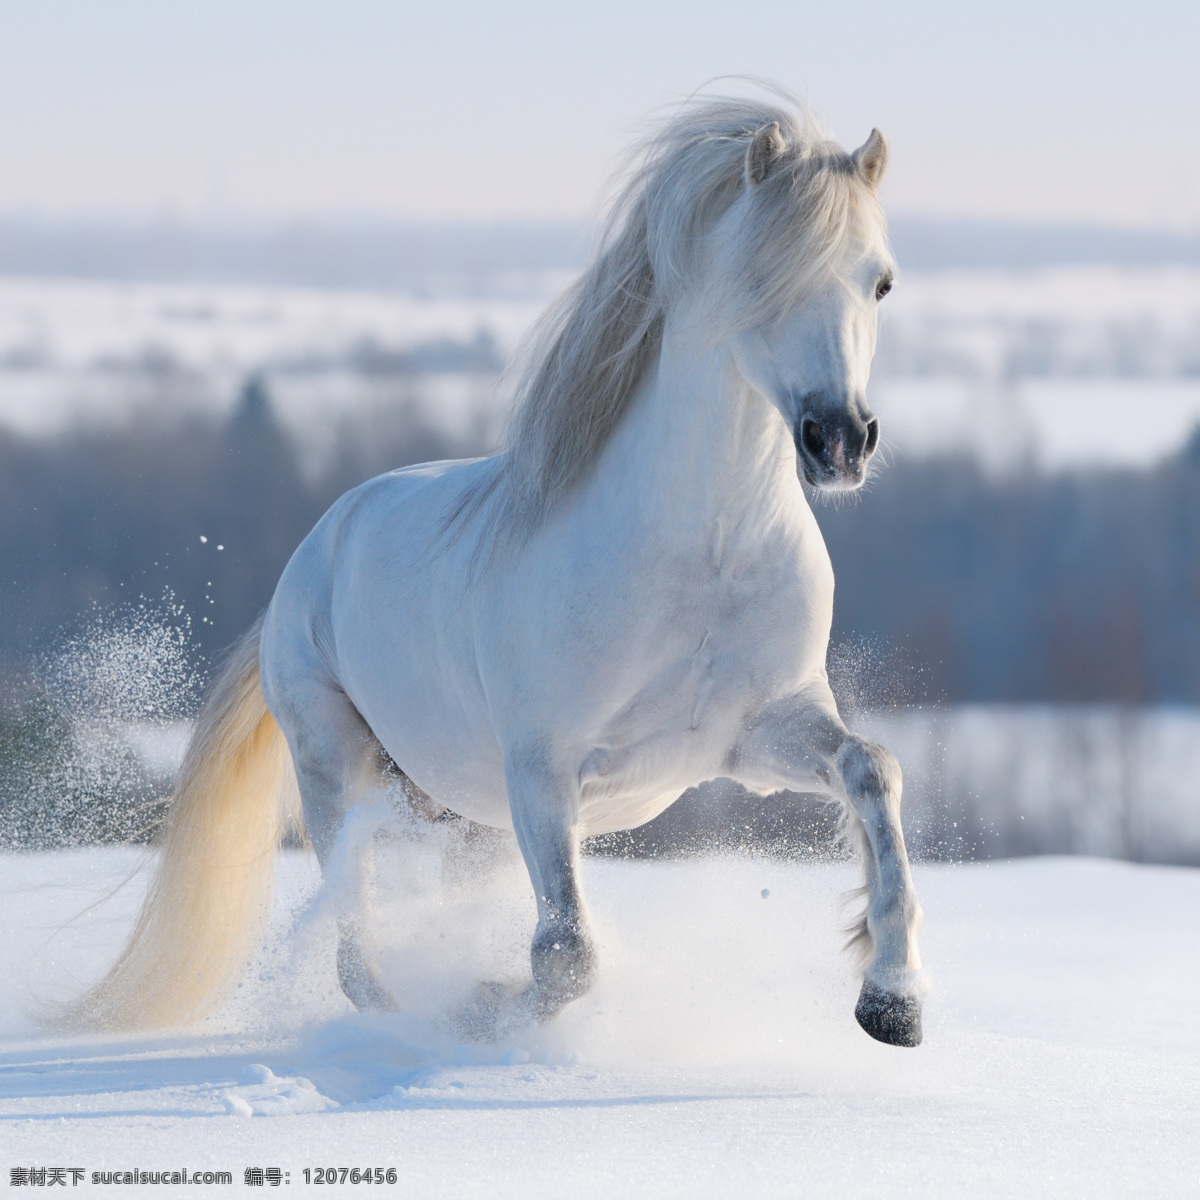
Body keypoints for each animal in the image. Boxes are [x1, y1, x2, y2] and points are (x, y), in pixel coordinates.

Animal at [68, 93, 916, 1046]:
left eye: (880, 282)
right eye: (763, 276)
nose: (839, 440)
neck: (704, 553)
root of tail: (314, 549)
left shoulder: (756, 734)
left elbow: (872, 769)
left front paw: (893, 1001)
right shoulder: (542, 770)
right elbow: (566, 954)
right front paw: (483, 1008)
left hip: (468, 816)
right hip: (339, 770)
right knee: (355, 946)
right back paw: (406, 1019)